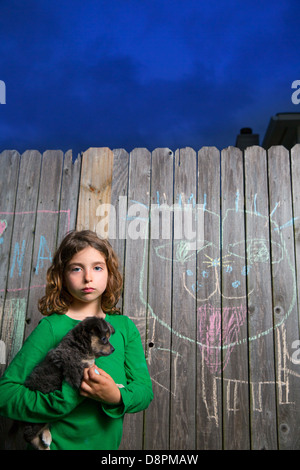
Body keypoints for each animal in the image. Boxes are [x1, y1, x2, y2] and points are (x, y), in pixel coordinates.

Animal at [13, 318, 114, 450]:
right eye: (104, 339)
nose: (113, 349)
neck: (79, 348)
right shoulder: (76, 373)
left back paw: (46, 437)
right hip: (37, 415)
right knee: (29, 435)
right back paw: (45, 446)